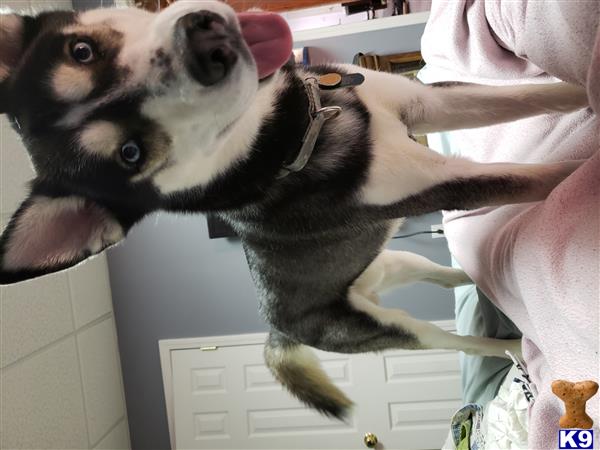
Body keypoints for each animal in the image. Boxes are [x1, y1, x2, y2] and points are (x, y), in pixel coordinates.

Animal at [0, 0, 592, 418]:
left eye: (81, 51)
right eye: (130, 153)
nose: (204, 42)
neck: (295, 129)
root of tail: (276, 328)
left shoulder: (423, 103)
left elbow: (535, 97)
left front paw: (583, 84)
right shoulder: (440, 186)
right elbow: (546, 177)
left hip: (395, 263)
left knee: (443, 274)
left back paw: (473, 279)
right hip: (400, 331)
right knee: (463, 339)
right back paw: (514, 344)